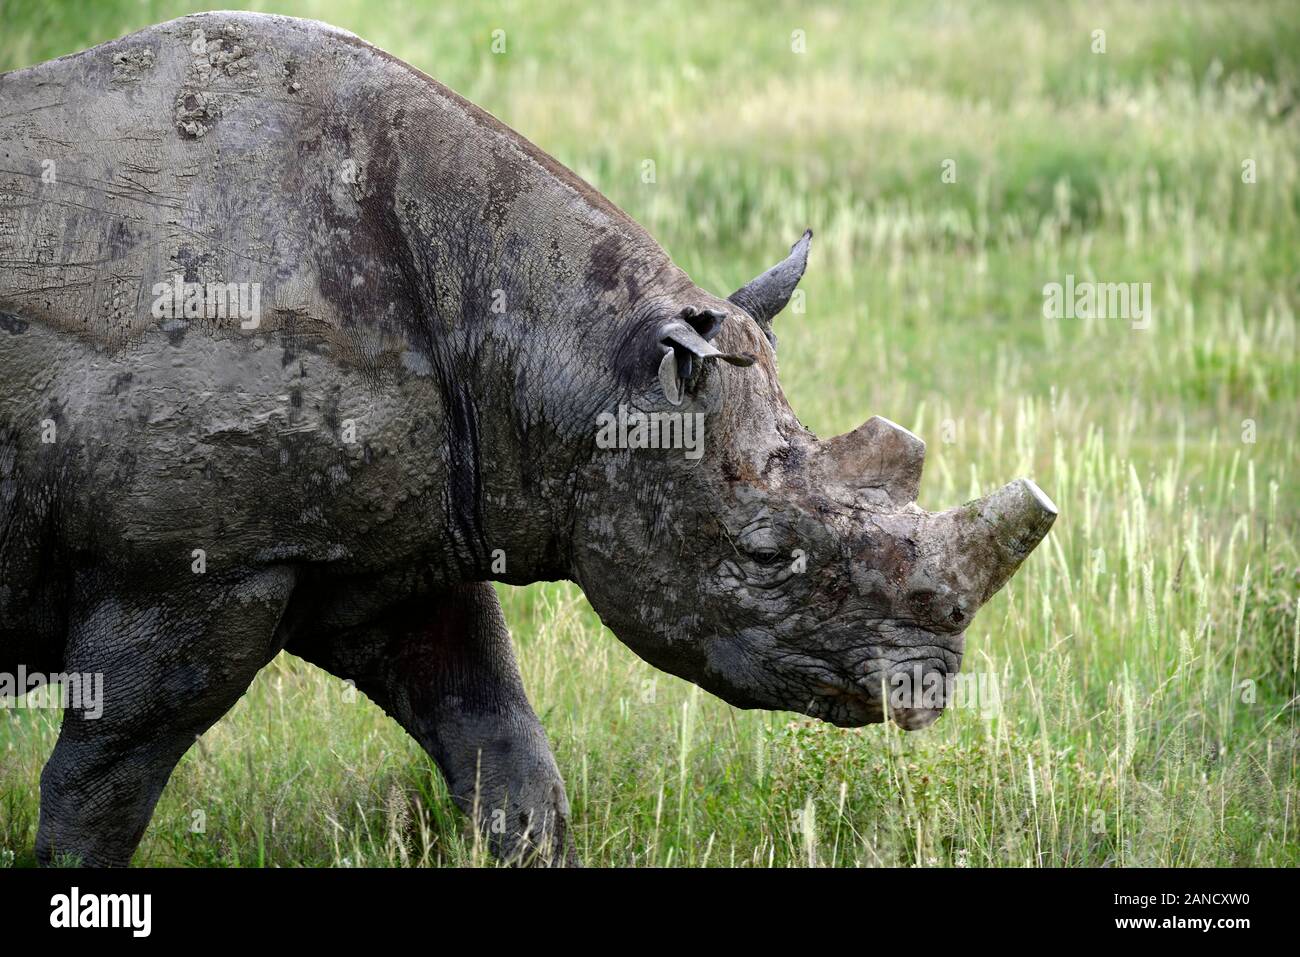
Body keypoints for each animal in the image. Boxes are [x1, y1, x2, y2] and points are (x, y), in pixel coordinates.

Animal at [0, 12, 1056, 866]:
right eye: (764, 553)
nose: (928, 685)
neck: (577, 361)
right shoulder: (183, 567)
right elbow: (103, 783)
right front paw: (69, 868)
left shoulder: (398, 542)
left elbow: (499, 740)